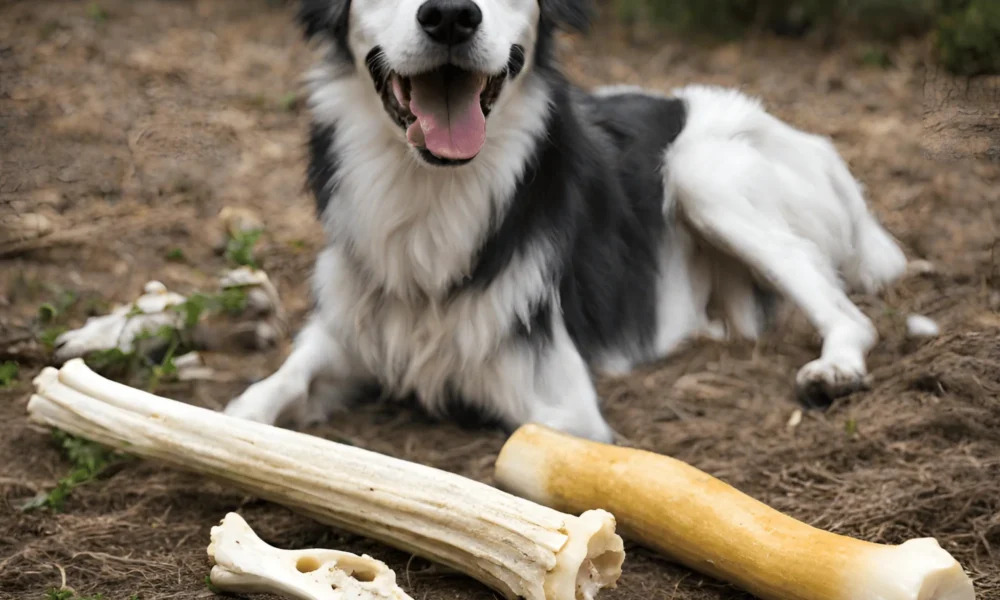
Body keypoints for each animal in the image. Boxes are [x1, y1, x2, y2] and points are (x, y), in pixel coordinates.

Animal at [223, 0, 912, 440]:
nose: (450, 15)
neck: (430, 190)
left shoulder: (567, 406)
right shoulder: (349, 326)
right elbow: (266, 390)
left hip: (701, 173)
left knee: (849, 314)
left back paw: (834, 371)